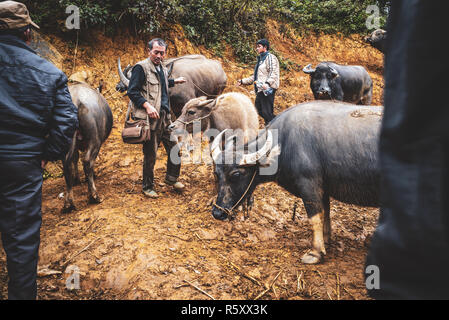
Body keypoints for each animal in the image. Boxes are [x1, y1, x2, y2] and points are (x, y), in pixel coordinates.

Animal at [62, 82, 113, 212]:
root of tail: (76, 100)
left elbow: (75, 159)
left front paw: (77, 179)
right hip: (95, 141)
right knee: (87, 161)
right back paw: (94, 196)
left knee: (67, 164)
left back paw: (68, 203)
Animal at [210, 101, 382, 264]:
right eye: (216, 173)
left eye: (236, 174)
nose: (217, 213)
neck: (284, 144)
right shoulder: (322, 188)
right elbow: (325, 213)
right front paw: (326, 240)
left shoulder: (309, 185)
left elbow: (315, 217)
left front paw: (316, 252)